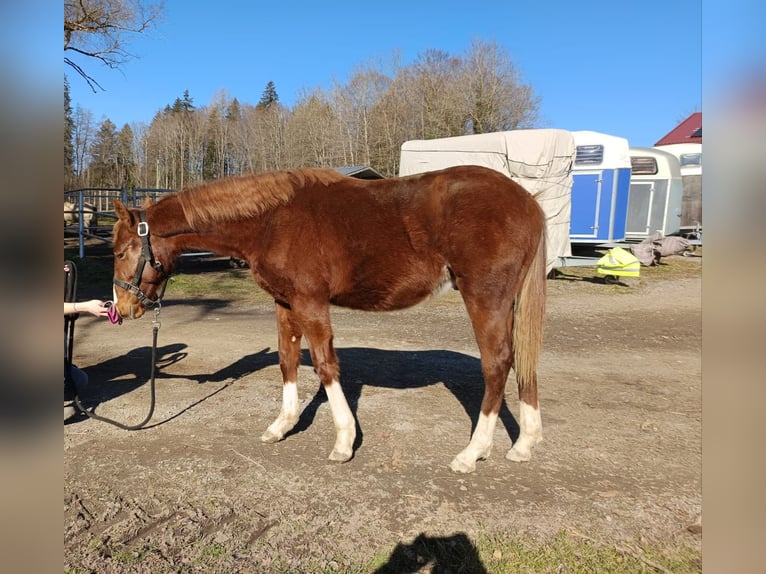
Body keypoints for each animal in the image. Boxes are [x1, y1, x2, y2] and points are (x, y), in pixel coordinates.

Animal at [110, 165, 547, 473]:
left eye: (120, 251)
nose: (122, 307)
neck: (271, 221)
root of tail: (528, 201)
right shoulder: (285, 303)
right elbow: (288, 360)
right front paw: (282, 426)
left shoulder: (311, 302)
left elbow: (324, 365)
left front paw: (343, 441)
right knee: (522, 362)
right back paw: (524, 445)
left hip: (485, 298)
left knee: (497, 364)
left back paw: (473, 452)